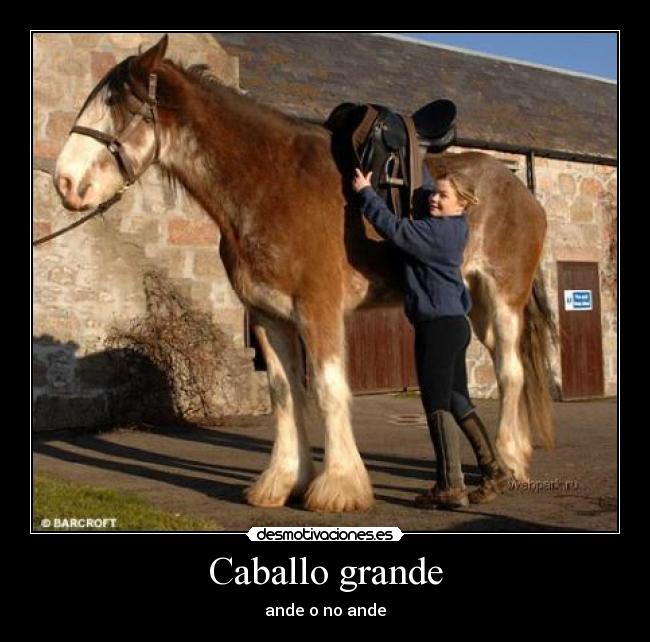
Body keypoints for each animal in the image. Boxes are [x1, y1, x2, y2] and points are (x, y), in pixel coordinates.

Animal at [52, 35, 556, 512]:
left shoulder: (318, 310)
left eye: (117, 104)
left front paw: (339, 487)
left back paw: (508, 460)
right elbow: (284, 393)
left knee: (510, 372)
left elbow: (329, 391)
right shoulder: (269, 316)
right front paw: (283, 481)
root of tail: (520, 189)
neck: (270, 185)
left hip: (504, 299)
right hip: (476, 309)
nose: (63, 183)